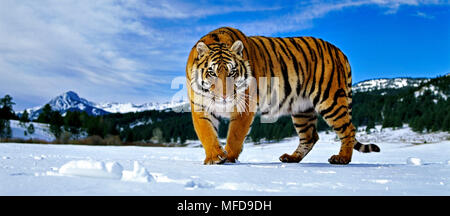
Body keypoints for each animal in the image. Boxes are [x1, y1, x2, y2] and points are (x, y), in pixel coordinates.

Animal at [186, 27, 380, 165]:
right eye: (212, 73)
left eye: (232, 72)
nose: (225, 96)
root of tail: (340, 52)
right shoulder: (200, 106)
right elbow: (207, 133)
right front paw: (215, 157)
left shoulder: (244, 107)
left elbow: (235, 135)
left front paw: (229, 158)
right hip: (302, 110)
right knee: (310, 136)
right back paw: (291, 158)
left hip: (330, 100)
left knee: (349, 129)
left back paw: (342, 159)